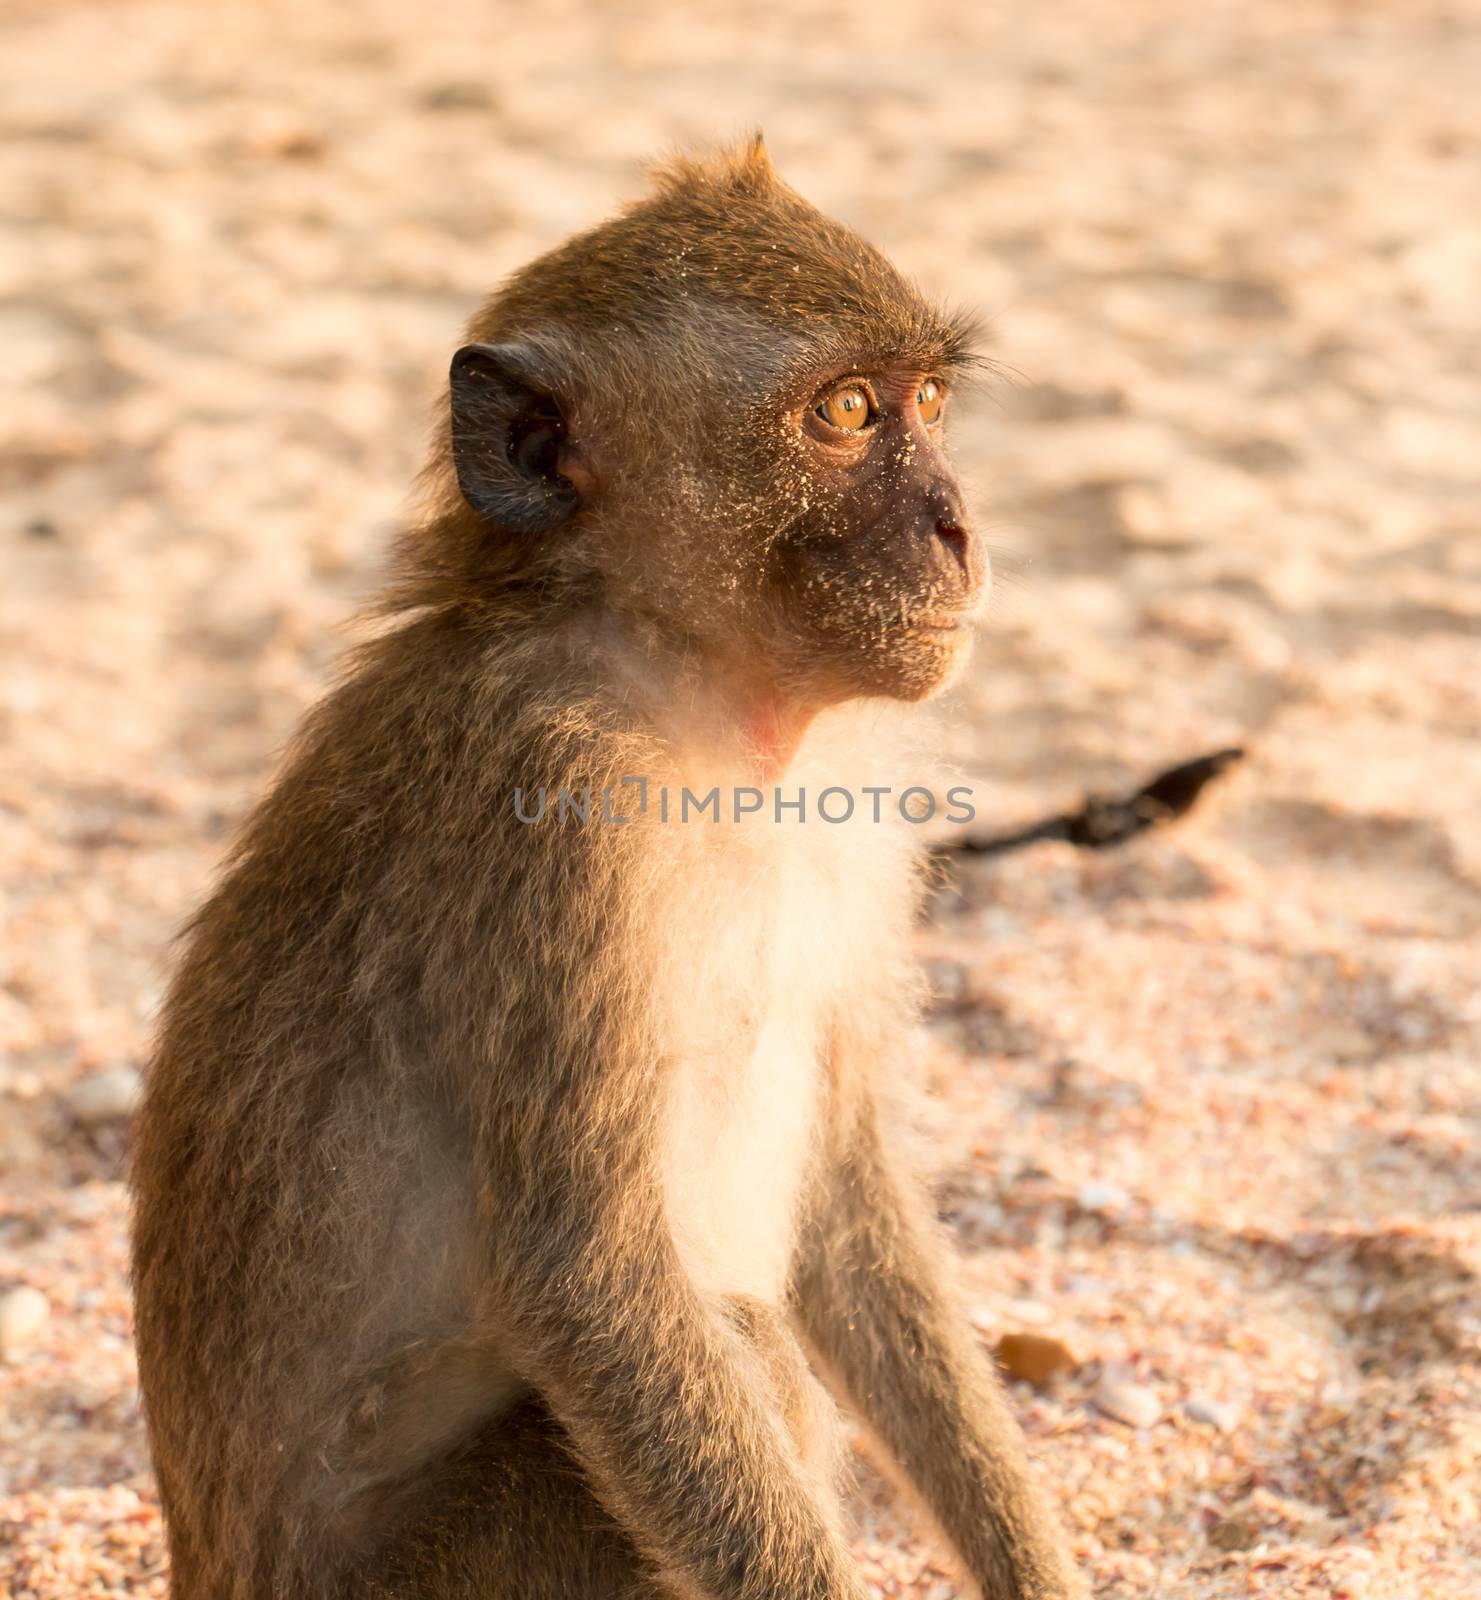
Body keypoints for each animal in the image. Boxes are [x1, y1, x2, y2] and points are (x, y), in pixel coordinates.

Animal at [130, 140, 1087, 1600]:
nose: (958, 531)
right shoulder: (554, 822)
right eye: (846, 411)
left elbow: (849, 1198)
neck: (688, 689)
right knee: (725, 1357)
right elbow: (583, 1273)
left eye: (927, 400)